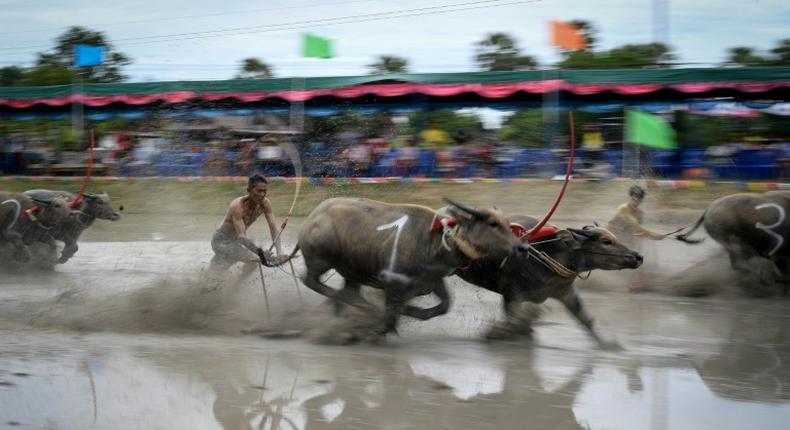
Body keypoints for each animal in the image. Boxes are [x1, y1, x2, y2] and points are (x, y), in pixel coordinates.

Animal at [294, 197, 524, 340]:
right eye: (493, 224)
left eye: (507, 224)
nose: (522, 247)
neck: (436, 240)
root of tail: (312, 218)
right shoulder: (393, 282)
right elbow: (390, 314)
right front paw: (376, 330)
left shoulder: (432, 280)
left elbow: (444, 305)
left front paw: (410, 312)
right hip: (321, 261)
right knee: (312, 281)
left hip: (352, 271)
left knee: (348, 291)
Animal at [452, 213, 644, 348]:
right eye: (606, 241)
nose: (638, 256)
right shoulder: (511, 294)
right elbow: (516, 319)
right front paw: (499, 332)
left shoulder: (565, 293)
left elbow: (585, 319)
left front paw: (606, 344)